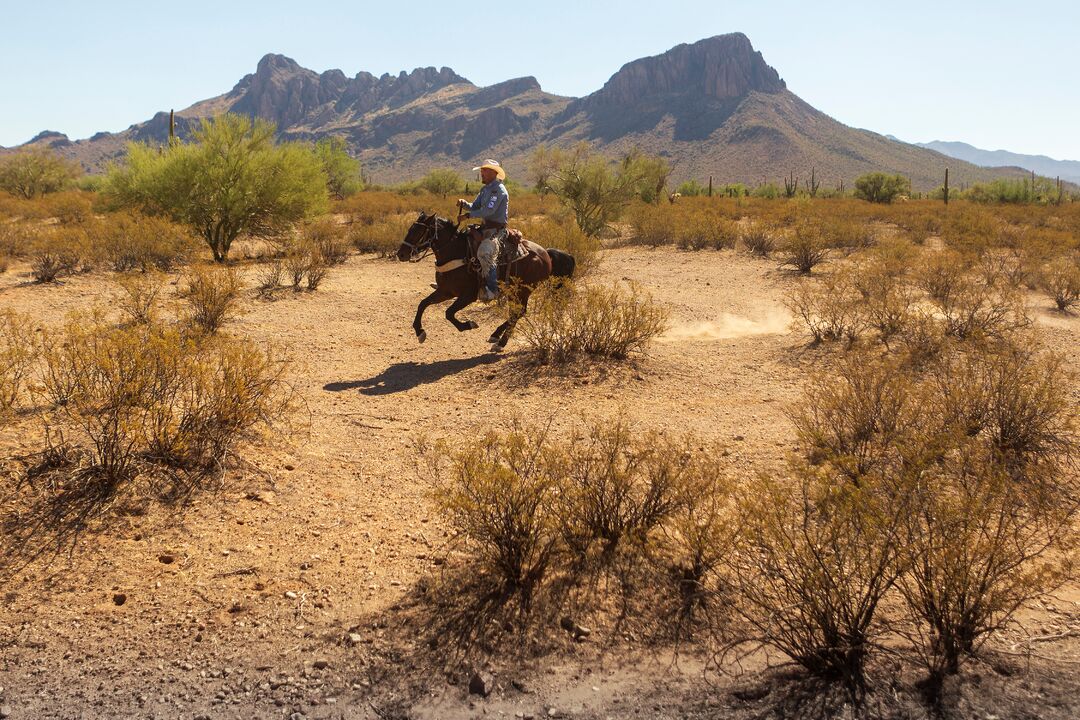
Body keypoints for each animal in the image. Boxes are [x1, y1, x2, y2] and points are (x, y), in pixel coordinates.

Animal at [399, 212, 574, 349]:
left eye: (418, 231)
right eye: (409, 229)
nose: (401, 254)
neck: (456, 253)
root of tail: (546, 253)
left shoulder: (468, 295)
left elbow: (448, 313)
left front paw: (468, 325)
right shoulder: (445, 291)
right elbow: (423, 304)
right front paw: (419, 332)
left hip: (523, 290)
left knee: (519, 312)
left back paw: (501, 342)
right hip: (514, 291)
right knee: (517, 312)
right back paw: (496, 336)